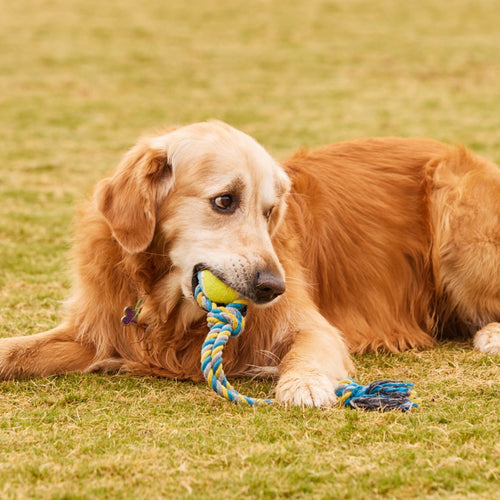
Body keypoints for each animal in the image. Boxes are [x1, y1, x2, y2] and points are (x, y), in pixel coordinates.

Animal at [0, 122, 500, 406]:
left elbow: (306, 352)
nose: (273, 288)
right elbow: (17, 350)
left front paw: (304, 385)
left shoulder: (314, 326)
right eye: (224, 201)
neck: (168, 313)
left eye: (269, 211)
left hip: (458, 216)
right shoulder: (99, 330)